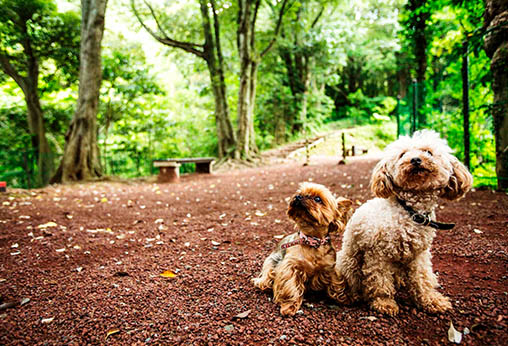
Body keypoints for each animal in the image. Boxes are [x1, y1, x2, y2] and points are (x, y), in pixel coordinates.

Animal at [252, 182, 352, 314]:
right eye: (300, 193)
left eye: (318, 199)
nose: (298, 196)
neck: (312, 241)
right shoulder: (290, 267)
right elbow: (290, 286)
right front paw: (289, 306)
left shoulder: (330, 268)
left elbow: (336, 283)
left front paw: (344, 298)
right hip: (271, 263)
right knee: (266, 277)